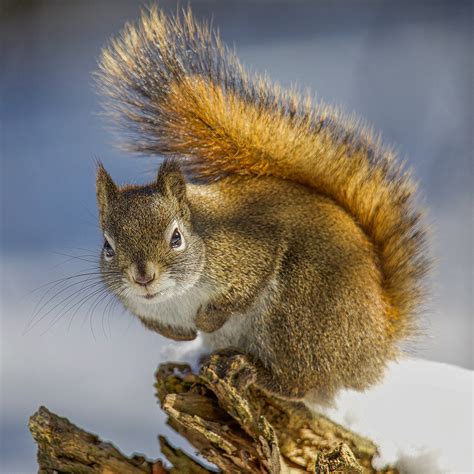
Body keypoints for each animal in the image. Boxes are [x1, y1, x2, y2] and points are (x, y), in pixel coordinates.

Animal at [93, 5, 430, 402]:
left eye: (176, 238)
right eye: (108, 247)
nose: (143, 277)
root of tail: (374, 351)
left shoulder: (249, 250)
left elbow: (240, 293)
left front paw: (205, 319)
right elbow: (161, 326)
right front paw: (183, 335)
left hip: (298, 314)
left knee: (300, 382)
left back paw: (251, 371)